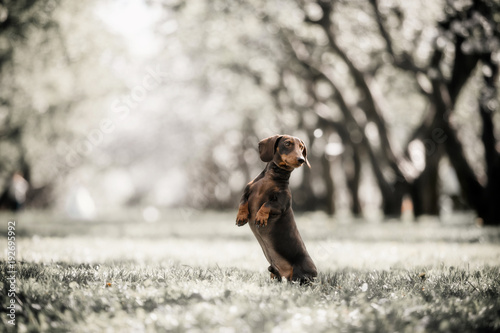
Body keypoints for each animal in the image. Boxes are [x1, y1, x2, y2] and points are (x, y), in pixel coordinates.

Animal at [234, 134, 316, 282]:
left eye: (301, 147)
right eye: (288, 143)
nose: (301, 160)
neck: (272, 178)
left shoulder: (282, 202)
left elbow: (267, 204)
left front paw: (260, 217)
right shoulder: (247, 190)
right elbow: (242, 202)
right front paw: (241, 217)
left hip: (302, 273)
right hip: (273, 272)